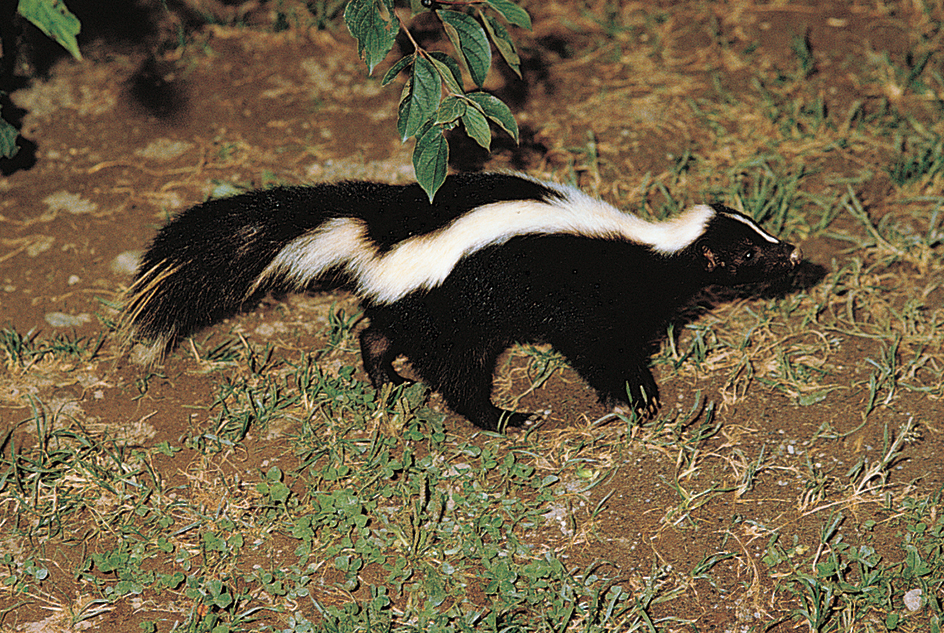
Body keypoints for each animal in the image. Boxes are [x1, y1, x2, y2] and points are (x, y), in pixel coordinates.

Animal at [123, 172, 804, 430]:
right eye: (750, 253)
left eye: (762, 233)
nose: (794, 253)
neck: (652, 250)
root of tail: (377, 231)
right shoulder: (593, 306)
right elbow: (601, 353)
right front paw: (638, 400)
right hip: (451, 308)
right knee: (455, 374)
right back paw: (504, 418)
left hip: (418, 301)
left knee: (376, 332)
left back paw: (387, 380)